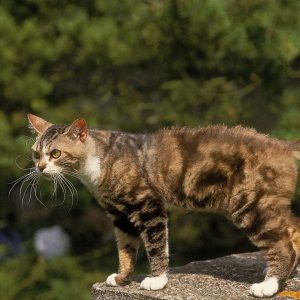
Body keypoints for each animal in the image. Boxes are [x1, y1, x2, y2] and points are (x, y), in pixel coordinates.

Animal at [26, 114, 300, 298]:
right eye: (36, 153)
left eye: (56, 154)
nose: (40, 168)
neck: (100, 162)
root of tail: (282, 144)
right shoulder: (118, 215)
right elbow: (125, 249)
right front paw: (122, 278)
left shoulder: (149, 205)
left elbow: (156, 245)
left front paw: (156, 280)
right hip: (268, 205)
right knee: (294, 230)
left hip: (250, 206)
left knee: (282, 244)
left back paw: (269, 285)